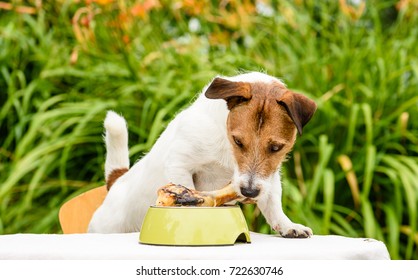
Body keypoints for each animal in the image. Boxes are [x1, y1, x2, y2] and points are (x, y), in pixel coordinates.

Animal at [89, 71, 316, 237]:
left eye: (276, 148)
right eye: (238, 141)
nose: (249, 192)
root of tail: (117, 182)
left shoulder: (269, 176)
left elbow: (273, 203)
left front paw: (287, 225)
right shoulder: (179, 163)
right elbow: (188, 192)